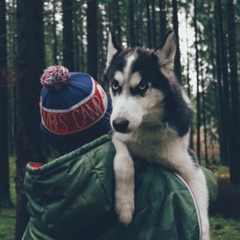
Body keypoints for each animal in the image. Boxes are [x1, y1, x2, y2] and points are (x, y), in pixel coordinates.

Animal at [104, 30, 209, 240]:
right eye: (115, 85)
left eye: (142, 86)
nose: (119, 123)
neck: (148, 130)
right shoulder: (116, 136)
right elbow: (124, 162)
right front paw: (125, 206)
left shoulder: (192, 167)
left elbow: (202, 215)